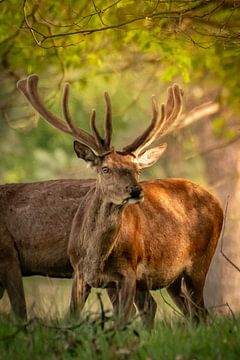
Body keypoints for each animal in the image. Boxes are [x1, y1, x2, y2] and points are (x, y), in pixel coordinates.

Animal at [16, 74, 223, 328]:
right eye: (106, 169)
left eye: (137, 170)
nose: (135, 191)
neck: (95, 256)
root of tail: (215, 200)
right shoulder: (79, 273)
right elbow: (73, 316)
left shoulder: (128, 272)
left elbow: (123, 320)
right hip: (172, 277)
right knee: (187, 312)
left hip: (200, 261)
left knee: (200, 312)